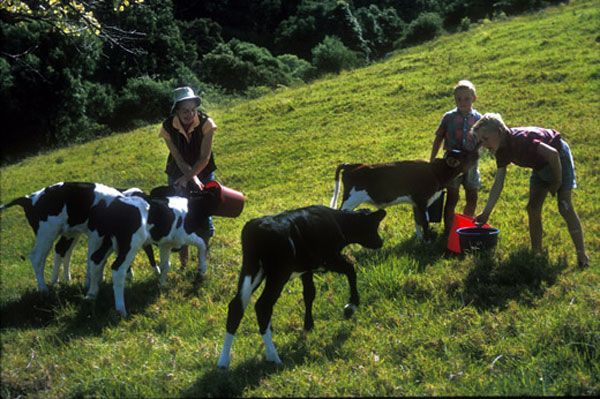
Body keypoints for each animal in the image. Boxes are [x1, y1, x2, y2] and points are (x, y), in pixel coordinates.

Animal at [218, 206, 386, 368]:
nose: (380, 242)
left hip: (251, 269)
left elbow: (309, 294)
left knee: (236, 306)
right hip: (278, 274)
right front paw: (351, 306)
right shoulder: (329, 259)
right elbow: (351, 270)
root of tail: (256, 226)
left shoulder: (307, 270)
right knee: (263, 306)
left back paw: (224, 361)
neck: (338, 222)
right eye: (373, 225)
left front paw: (308, 325)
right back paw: (273, 357)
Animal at [328, 149, 478, 241]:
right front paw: (428, 241)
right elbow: (425, 221)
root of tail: (351, 165)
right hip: (350, 200)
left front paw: (420, 240)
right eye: (464, 155)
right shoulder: (422, 200)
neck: (435, 172)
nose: (476, 152)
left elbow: (418, 220)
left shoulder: (415, 203)